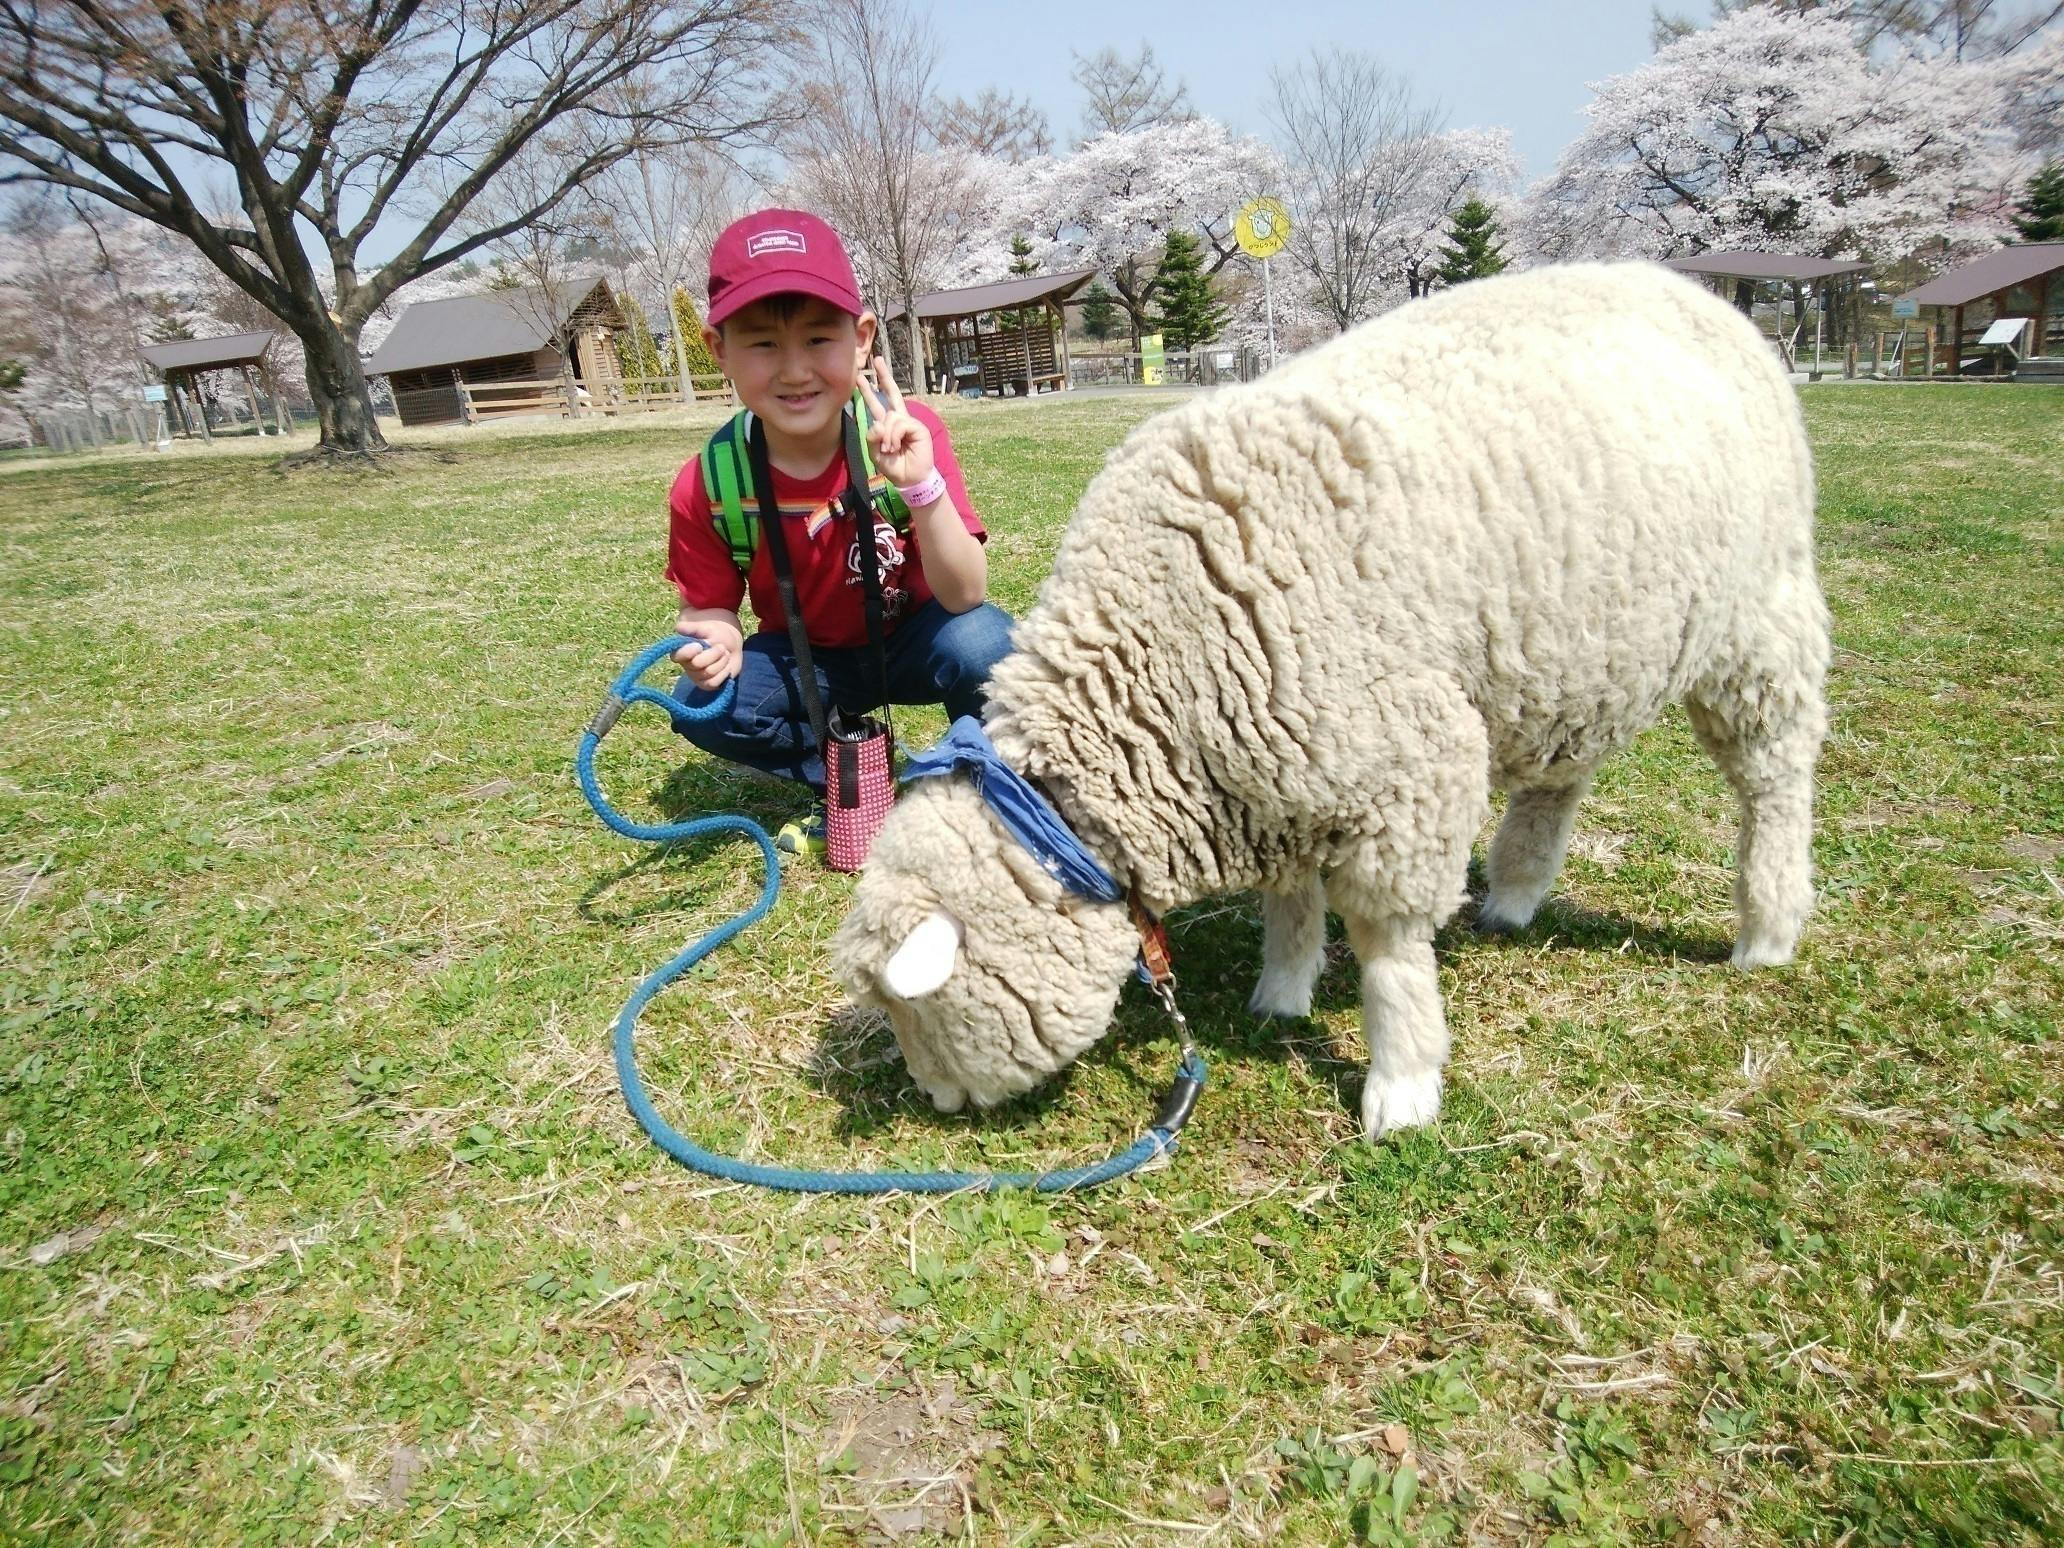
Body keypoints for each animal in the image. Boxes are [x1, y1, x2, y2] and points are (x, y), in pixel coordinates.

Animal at [829, 264, 1832, 1139]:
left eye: (921, 1013)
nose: (936, 1102)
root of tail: (1691, 291)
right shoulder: (1275, 765)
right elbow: (1290, 898)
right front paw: (1282, 992)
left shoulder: (1405, 762)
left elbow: (1390, 945)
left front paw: (1402, 1083)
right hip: (1577, 651)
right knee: (1560, 775)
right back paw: (1513, 894)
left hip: (1760, 612)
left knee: (1776, 773)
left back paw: (1768, 927)